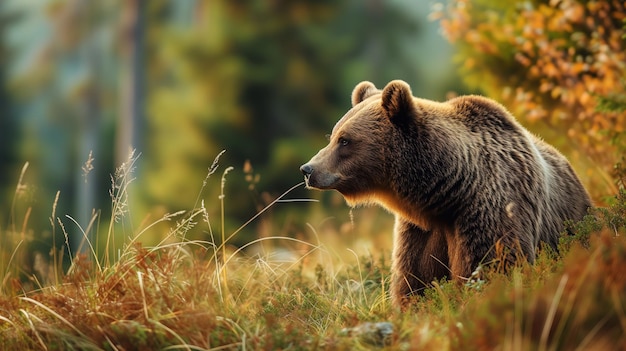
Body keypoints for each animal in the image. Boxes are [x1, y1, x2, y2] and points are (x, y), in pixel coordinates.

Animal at [302, 80, 588, 308]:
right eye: (333, 135)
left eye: (345, 140)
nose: (308, 169)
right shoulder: (420, 231)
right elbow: (414, 279)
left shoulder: (492, 208)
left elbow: (494, 266)